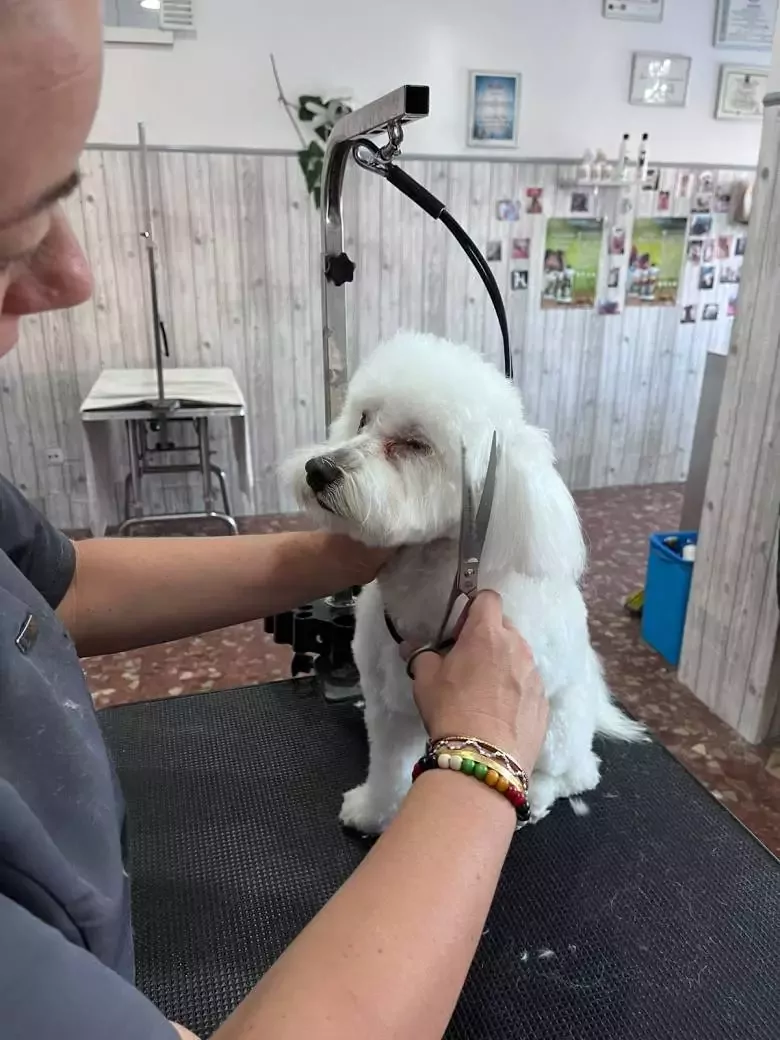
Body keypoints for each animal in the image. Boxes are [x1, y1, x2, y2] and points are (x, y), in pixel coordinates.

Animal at [284, 332, 644, 836]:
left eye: (415, 444)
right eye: (363, 418)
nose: (318, 469)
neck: (427, 591)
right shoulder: (388, 710)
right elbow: (387, 771)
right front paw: (374, 813)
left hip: (556, 728)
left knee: (578, 772)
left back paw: (540, 797)